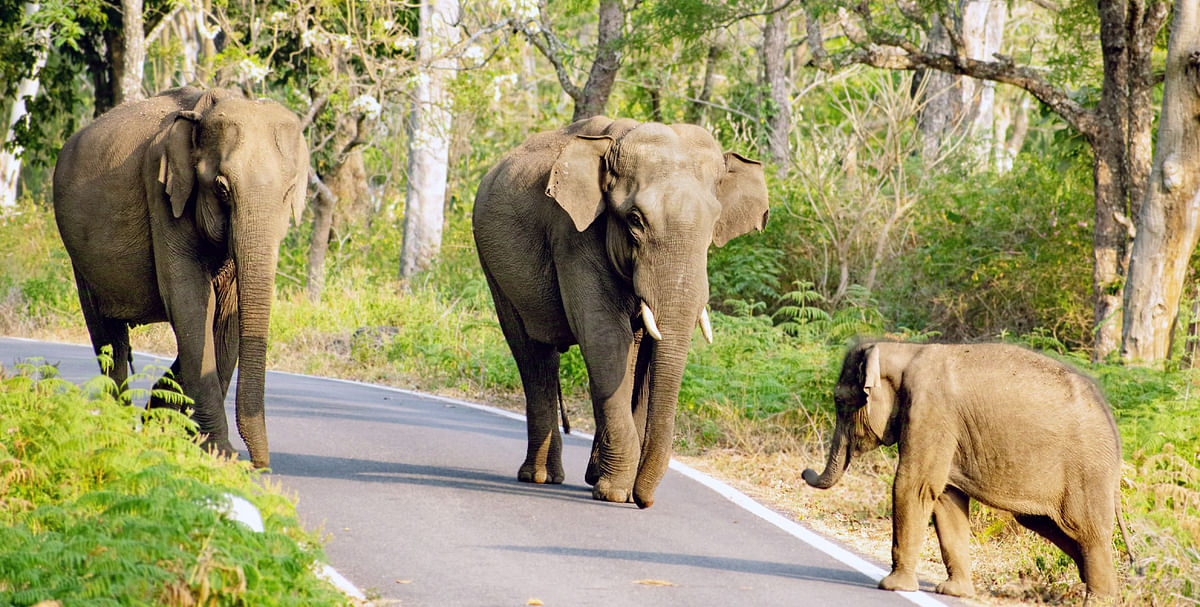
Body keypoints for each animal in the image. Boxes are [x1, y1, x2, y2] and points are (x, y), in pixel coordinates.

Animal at [55, 85, 309, 467]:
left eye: (288, 192)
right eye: (221, 188)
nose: (259, 465)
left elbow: (226, 315)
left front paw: (173, 429)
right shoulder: (161, 192)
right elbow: (191, 302)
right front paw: (217, 452)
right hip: (80, 260)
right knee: (109, 340)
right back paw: (117, 428)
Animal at [470, 115, 768, 506]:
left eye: (714, 222)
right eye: (635, 220)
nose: (644, 500)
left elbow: (643, 350)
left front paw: (615, 488)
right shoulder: (573, 235)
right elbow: (606, 337)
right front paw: (615, 493)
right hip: (493, 266)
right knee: (533, 352)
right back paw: (541, 477)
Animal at [801, 338, 1128, 599]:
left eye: (839, 399)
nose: (805, 472)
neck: (904, 350)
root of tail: (1111, 422)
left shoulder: (931, 412)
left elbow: (913, 486)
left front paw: (892, 586)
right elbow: (945, 497)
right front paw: (955, 592)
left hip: (1087, 471)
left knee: (1085, 530)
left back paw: (1099, 599)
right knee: (1048, 524)